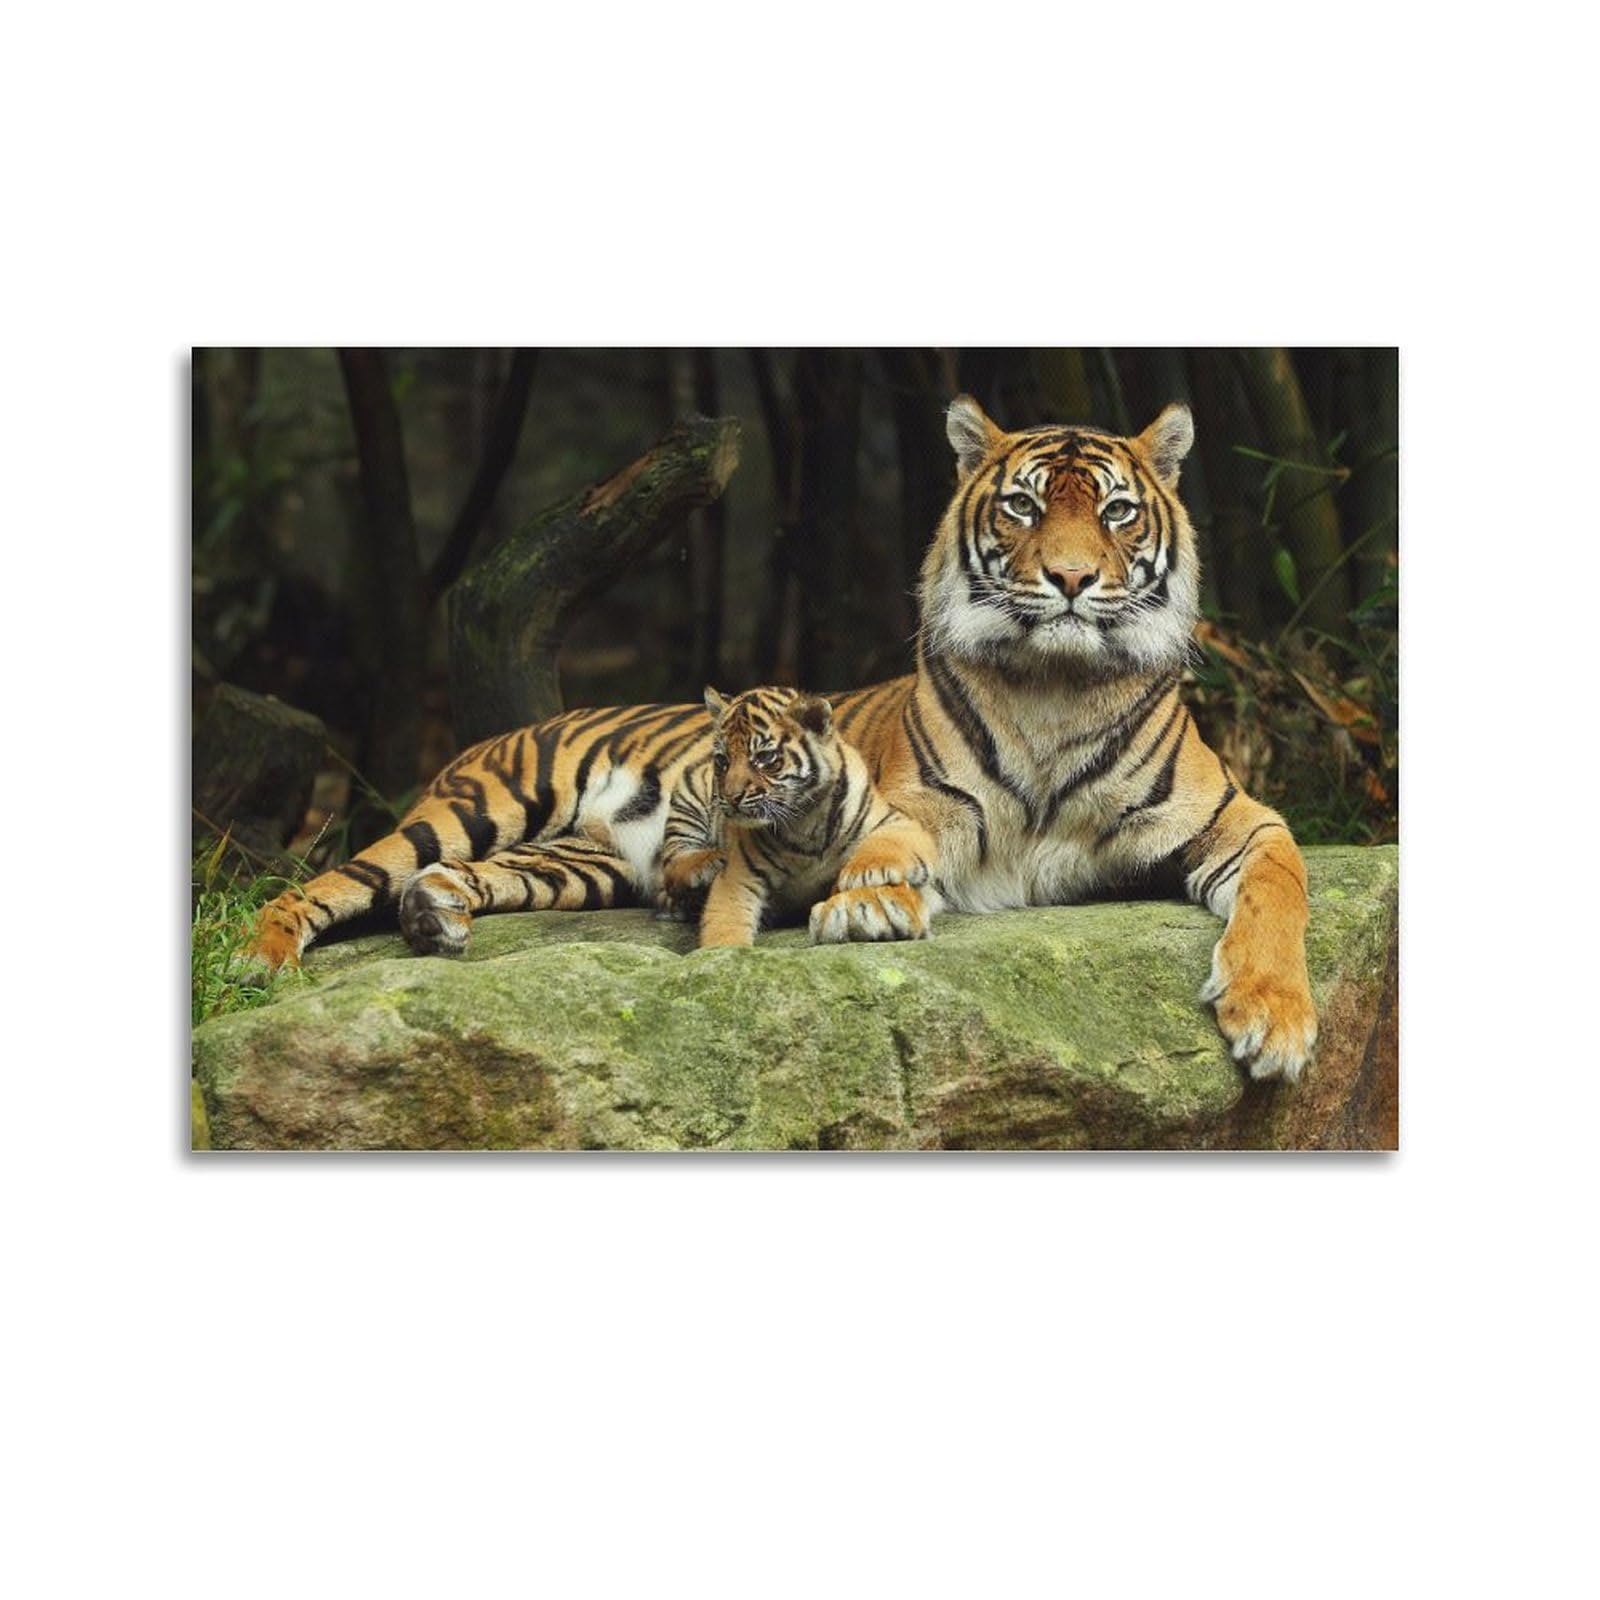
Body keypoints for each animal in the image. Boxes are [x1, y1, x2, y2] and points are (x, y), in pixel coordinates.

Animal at [661, 685, 937, 947]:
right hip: (689, 796)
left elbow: (888, 841)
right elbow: (725, 922)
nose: (731, 797)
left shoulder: (897, 820)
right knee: (671, 863)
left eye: (764, 757)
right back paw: (709, 862)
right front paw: (724, 954)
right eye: (722, 760)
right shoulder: (740, 877)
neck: (805, 820)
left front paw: (864, 872)